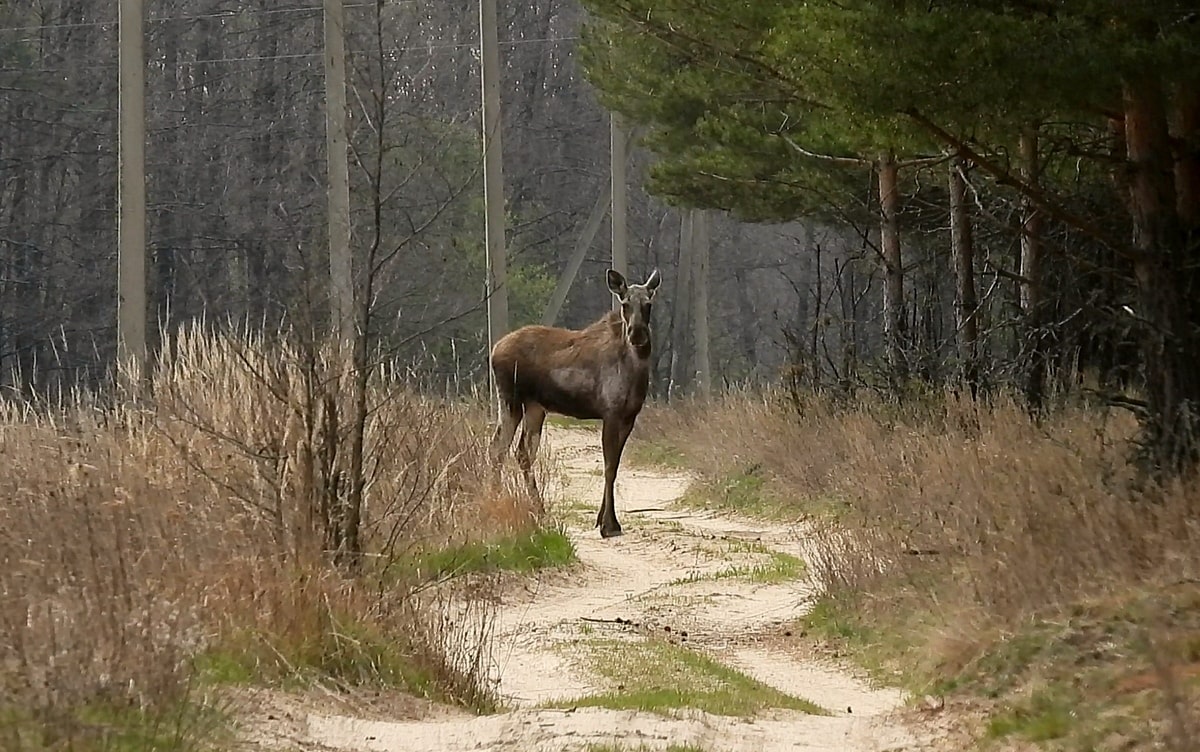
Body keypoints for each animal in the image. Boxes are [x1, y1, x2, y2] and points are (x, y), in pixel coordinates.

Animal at [484, 267, 662, 537]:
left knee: (521, 451)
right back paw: (497, 503)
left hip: (535, 408)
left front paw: (602, 520)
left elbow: (615, 465)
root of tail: (494, 350)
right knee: (498, 449)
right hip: (510, 401)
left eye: (648, 303)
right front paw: (609, 524)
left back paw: (538, 509)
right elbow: (609, 466)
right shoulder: (610, 412)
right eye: (625, 303)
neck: (636, 370)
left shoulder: (629, 416)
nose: (637, 333)